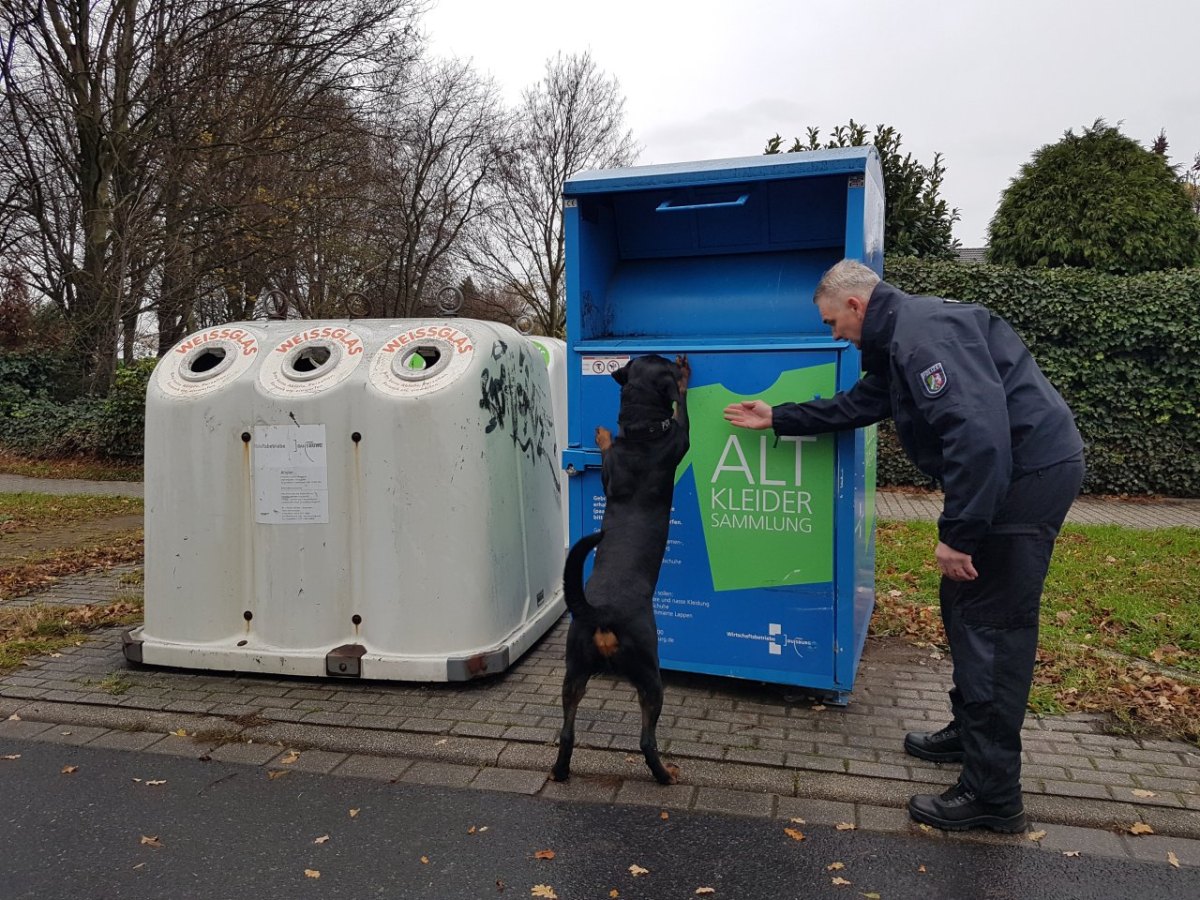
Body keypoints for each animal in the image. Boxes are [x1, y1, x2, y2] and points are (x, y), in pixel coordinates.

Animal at [549, 355, 691, 787]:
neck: (643, 434)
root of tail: (603, 613)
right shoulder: (682, 439)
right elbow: (683, 405)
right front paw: (685, 373)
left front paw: (604, 435)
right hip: (650, 674)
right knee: (646, 740)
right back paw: (665, 774)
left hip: (574, 671)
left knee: (566, 731)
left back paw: (560, 771)